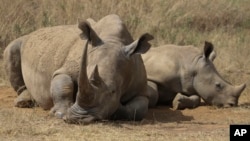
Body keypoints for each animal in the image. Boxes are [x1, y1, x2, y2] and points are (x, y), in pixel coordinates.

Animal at [3, 14, 152, 123]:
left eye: (113, 91)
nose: (78, 118)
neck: (114, 41)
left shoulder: (140, 88)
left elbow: (138, 110)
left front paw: (115, 109)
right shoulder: (68, 68)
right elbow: (63, 83)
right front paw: (60, 113)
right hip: (23, 41)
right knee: (11, 49)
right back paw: (23, 102)